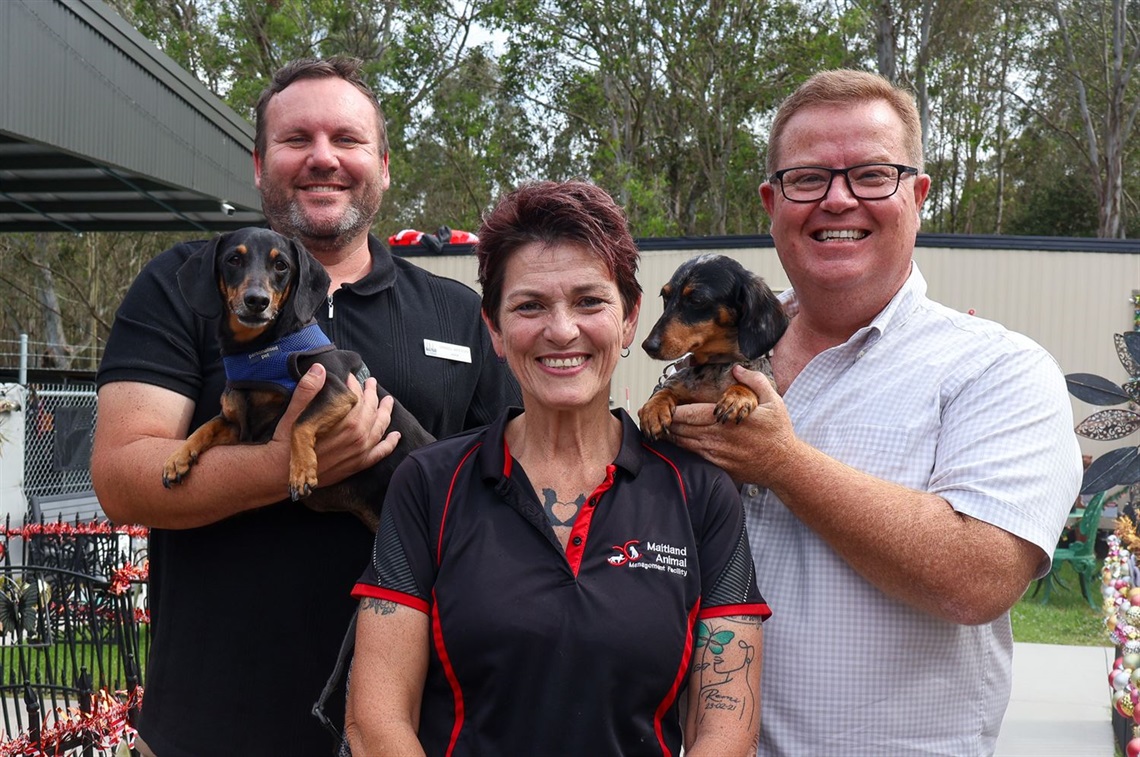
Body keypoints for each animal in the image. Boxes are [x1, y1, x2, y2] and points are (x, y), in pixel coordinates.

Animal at [165, 228, 435, 528]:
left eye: (281, 265)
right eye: (233, 259)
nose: (257, 301)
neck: (256, 351)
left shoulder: (336, 391)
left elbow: (299, 422)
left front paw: (301, 470)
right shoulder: (239, 425)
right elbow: (206, 426)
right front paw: (178, 457)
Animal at [638, 254, 788, 440]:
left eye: (696, 300)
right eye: (665, 296)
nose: (648, 346)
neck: (716, 364)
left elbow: (752, 380)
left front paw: (738, 395)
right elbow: (665, 390)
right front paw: (654, 408)